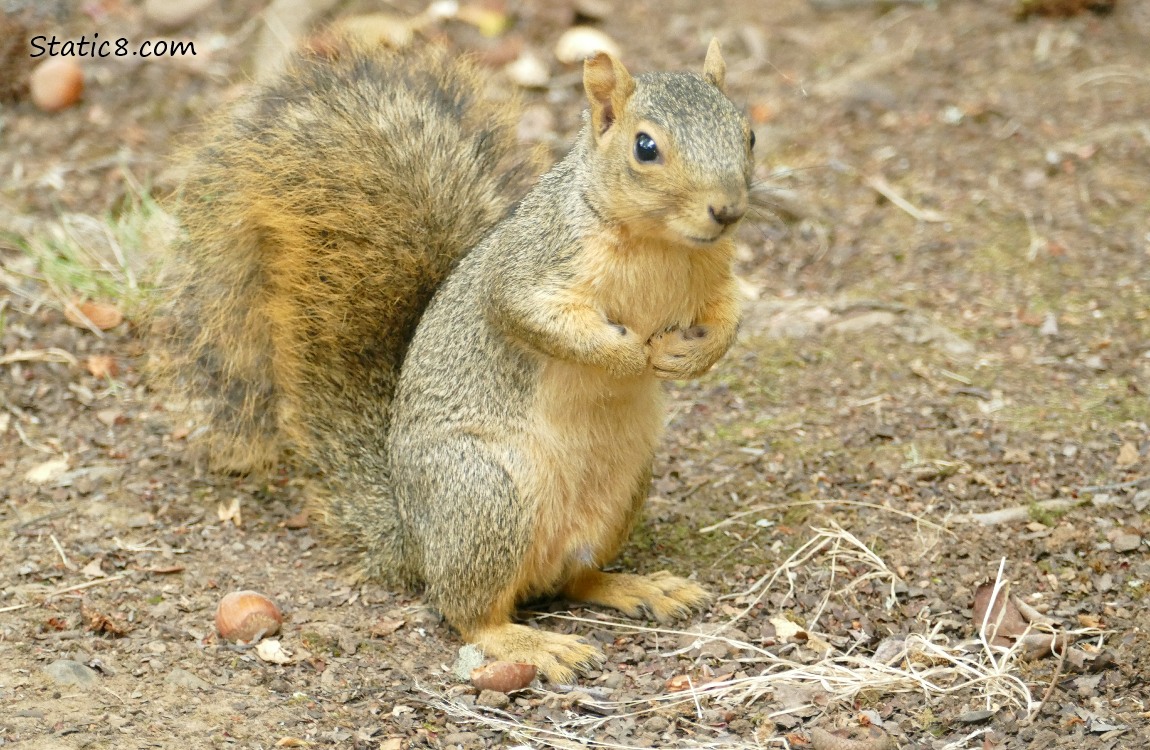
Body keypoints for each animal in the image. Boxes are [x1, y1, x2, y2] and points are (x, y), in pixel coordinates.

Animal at [157, 35, 754, 680]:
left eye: (747, 132)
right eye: (646, 147)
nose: (728, 211)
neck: (660, 244)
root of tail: (413, 538)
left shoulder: (715, 276)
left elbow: (729, 317)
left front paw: (691, 355)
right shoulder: (531, 266)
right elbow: (530, 313)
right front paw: (625, 356)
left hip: (621, 489)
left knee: (577, 578)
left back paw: (638, 587)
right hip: (484, 494)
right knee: (469, 611)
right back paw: (530, 643)